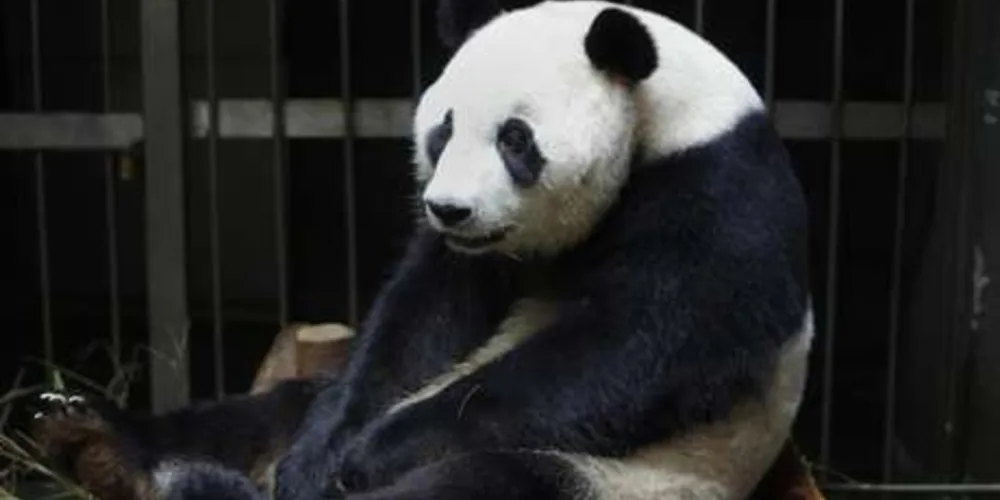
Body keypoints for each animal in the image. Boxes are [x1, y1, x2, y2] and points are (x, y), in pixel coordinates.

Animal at [28, 1, 812, 499]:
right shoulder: (471, 259)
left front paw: (368, 456)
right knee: (260, 413)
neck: (667, 111)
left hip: (626, 477)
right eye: (444, 128)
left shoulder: (718, 193)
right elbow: (421, 320)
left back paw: (201, 483)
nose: (449, 209)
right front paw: (321, 459)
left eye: (515, 138)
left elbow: (639, 346)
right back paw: (92, 440)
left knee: (483, 485)